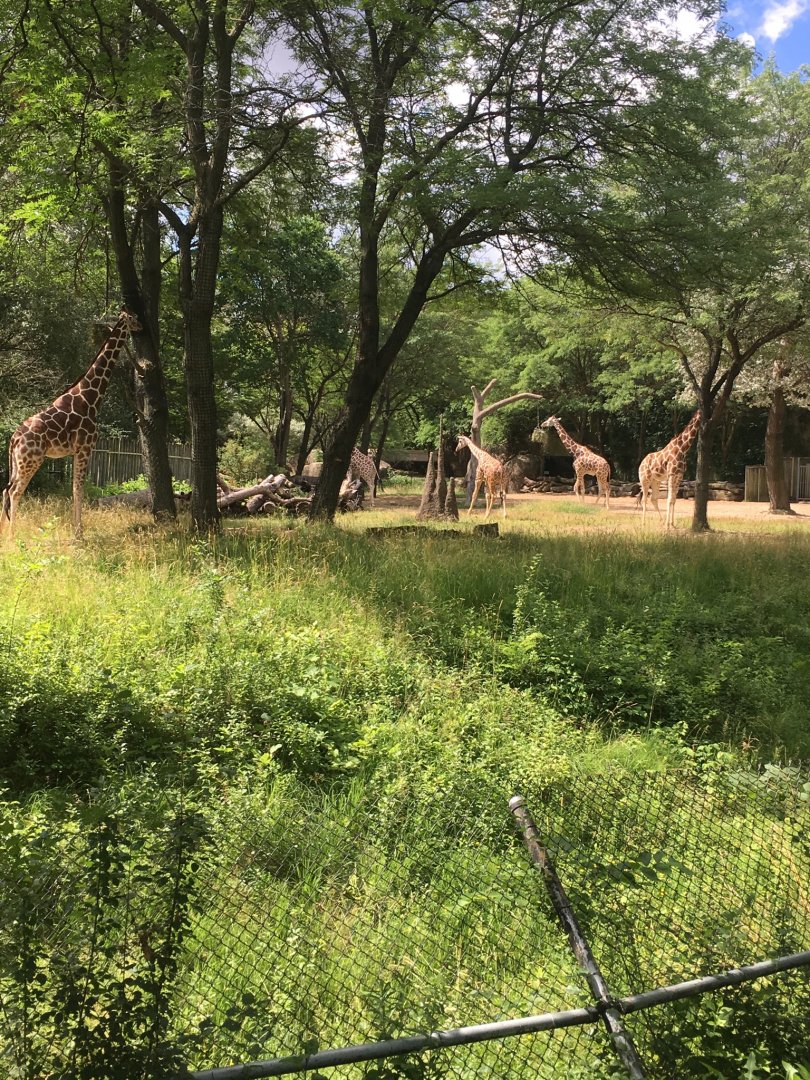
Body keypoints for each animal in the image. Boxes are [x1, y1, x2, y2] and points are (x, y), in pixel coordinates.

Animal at [1, 309, 142, 539]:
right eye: (133, 318)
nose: (141, 326)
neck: (90, 397)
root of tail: (15, 438)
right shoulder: (85, 447)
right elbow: (79, 489)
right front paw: (79, 535)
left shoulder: (77, 451)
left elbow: (74, 488)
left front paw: (77, 531)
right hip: (31, 460)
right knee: (14, 491)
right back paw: (12, 536)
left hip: (17, 462)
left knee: (6, 489)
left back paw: (4, 532)